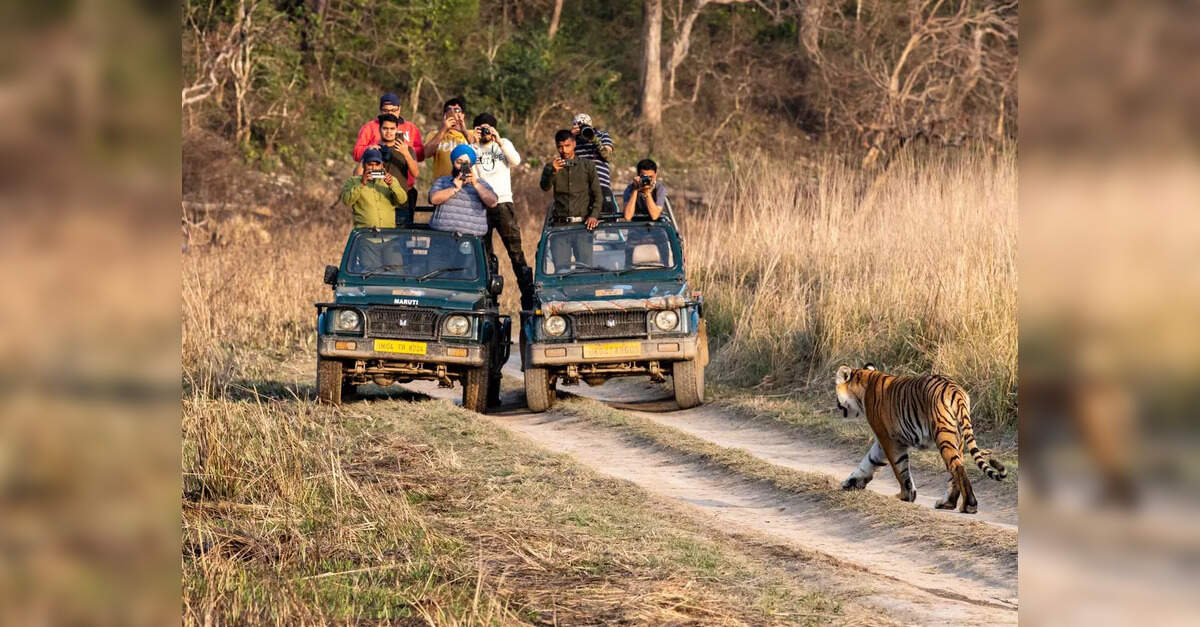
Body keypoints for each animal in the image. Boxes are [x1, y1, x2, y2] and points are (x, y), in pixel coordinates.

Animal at [834, 364, 1007, 514]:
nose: (837, 405)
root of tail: (955, 389)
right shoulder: (884, 441)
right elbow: (869, 461)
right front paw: (851, 482)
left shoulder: (889, 439)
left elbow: (899, 469)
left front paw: (905, 496)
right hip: (958, 438)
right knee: (957, 468)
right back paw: (947, 503)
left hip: (944, 434)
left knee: (957, 467)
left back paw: (968, 506)